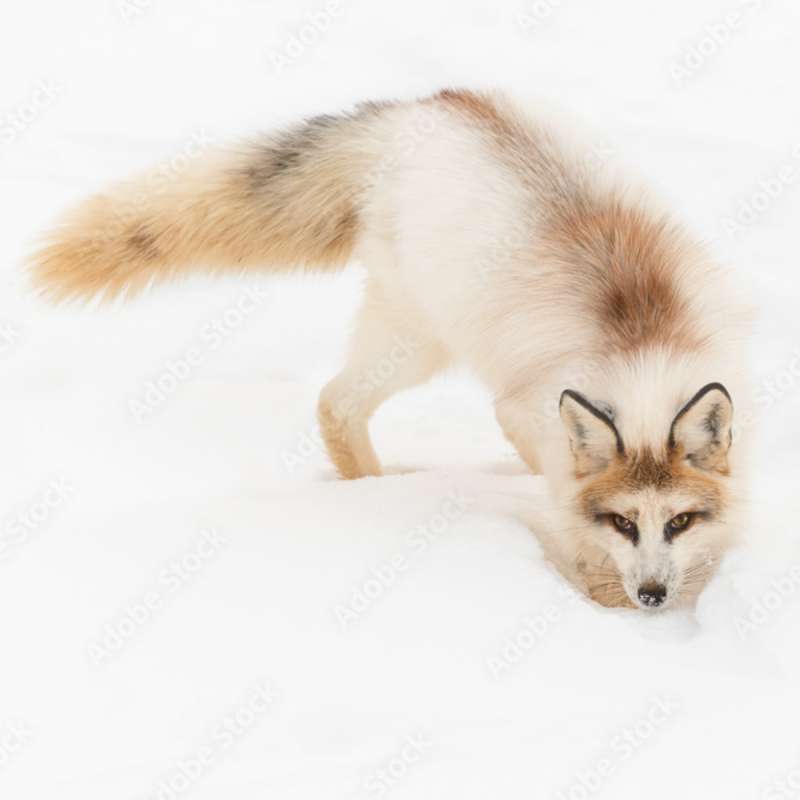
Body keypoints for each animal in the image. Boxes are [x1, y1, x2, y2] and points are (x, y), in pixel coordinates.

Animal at [30, 89, 751, 611]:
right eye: (625, 523)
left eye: (679, 521)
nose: (654, 595)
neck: (640, 348)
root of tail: (420, 108)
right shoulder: (541, 419)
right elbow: (572, 517)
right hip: (414, 342)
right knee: (335, 401)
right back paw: (379, 495)